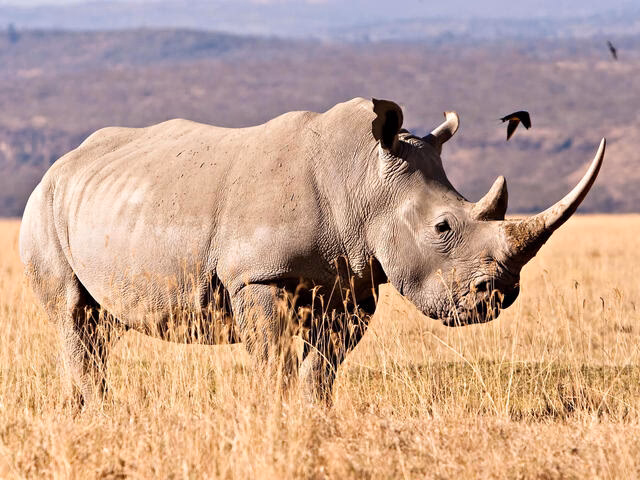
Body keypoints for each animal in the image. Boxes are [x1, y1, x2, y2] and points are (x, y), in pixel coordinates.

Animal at [19, 98, 605, 407]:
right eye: (442, 227)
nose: (499, 295)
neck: (364, 178)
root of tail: (60, 164)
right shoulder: (258, 276)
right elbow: (273, 358)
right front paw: (274, 413)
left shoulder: (355, 284)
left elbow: (323, 365)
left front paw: (312, 414)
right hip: (43, 206)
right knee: (74, 314)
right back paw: (96, 409)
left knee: (99, 324)